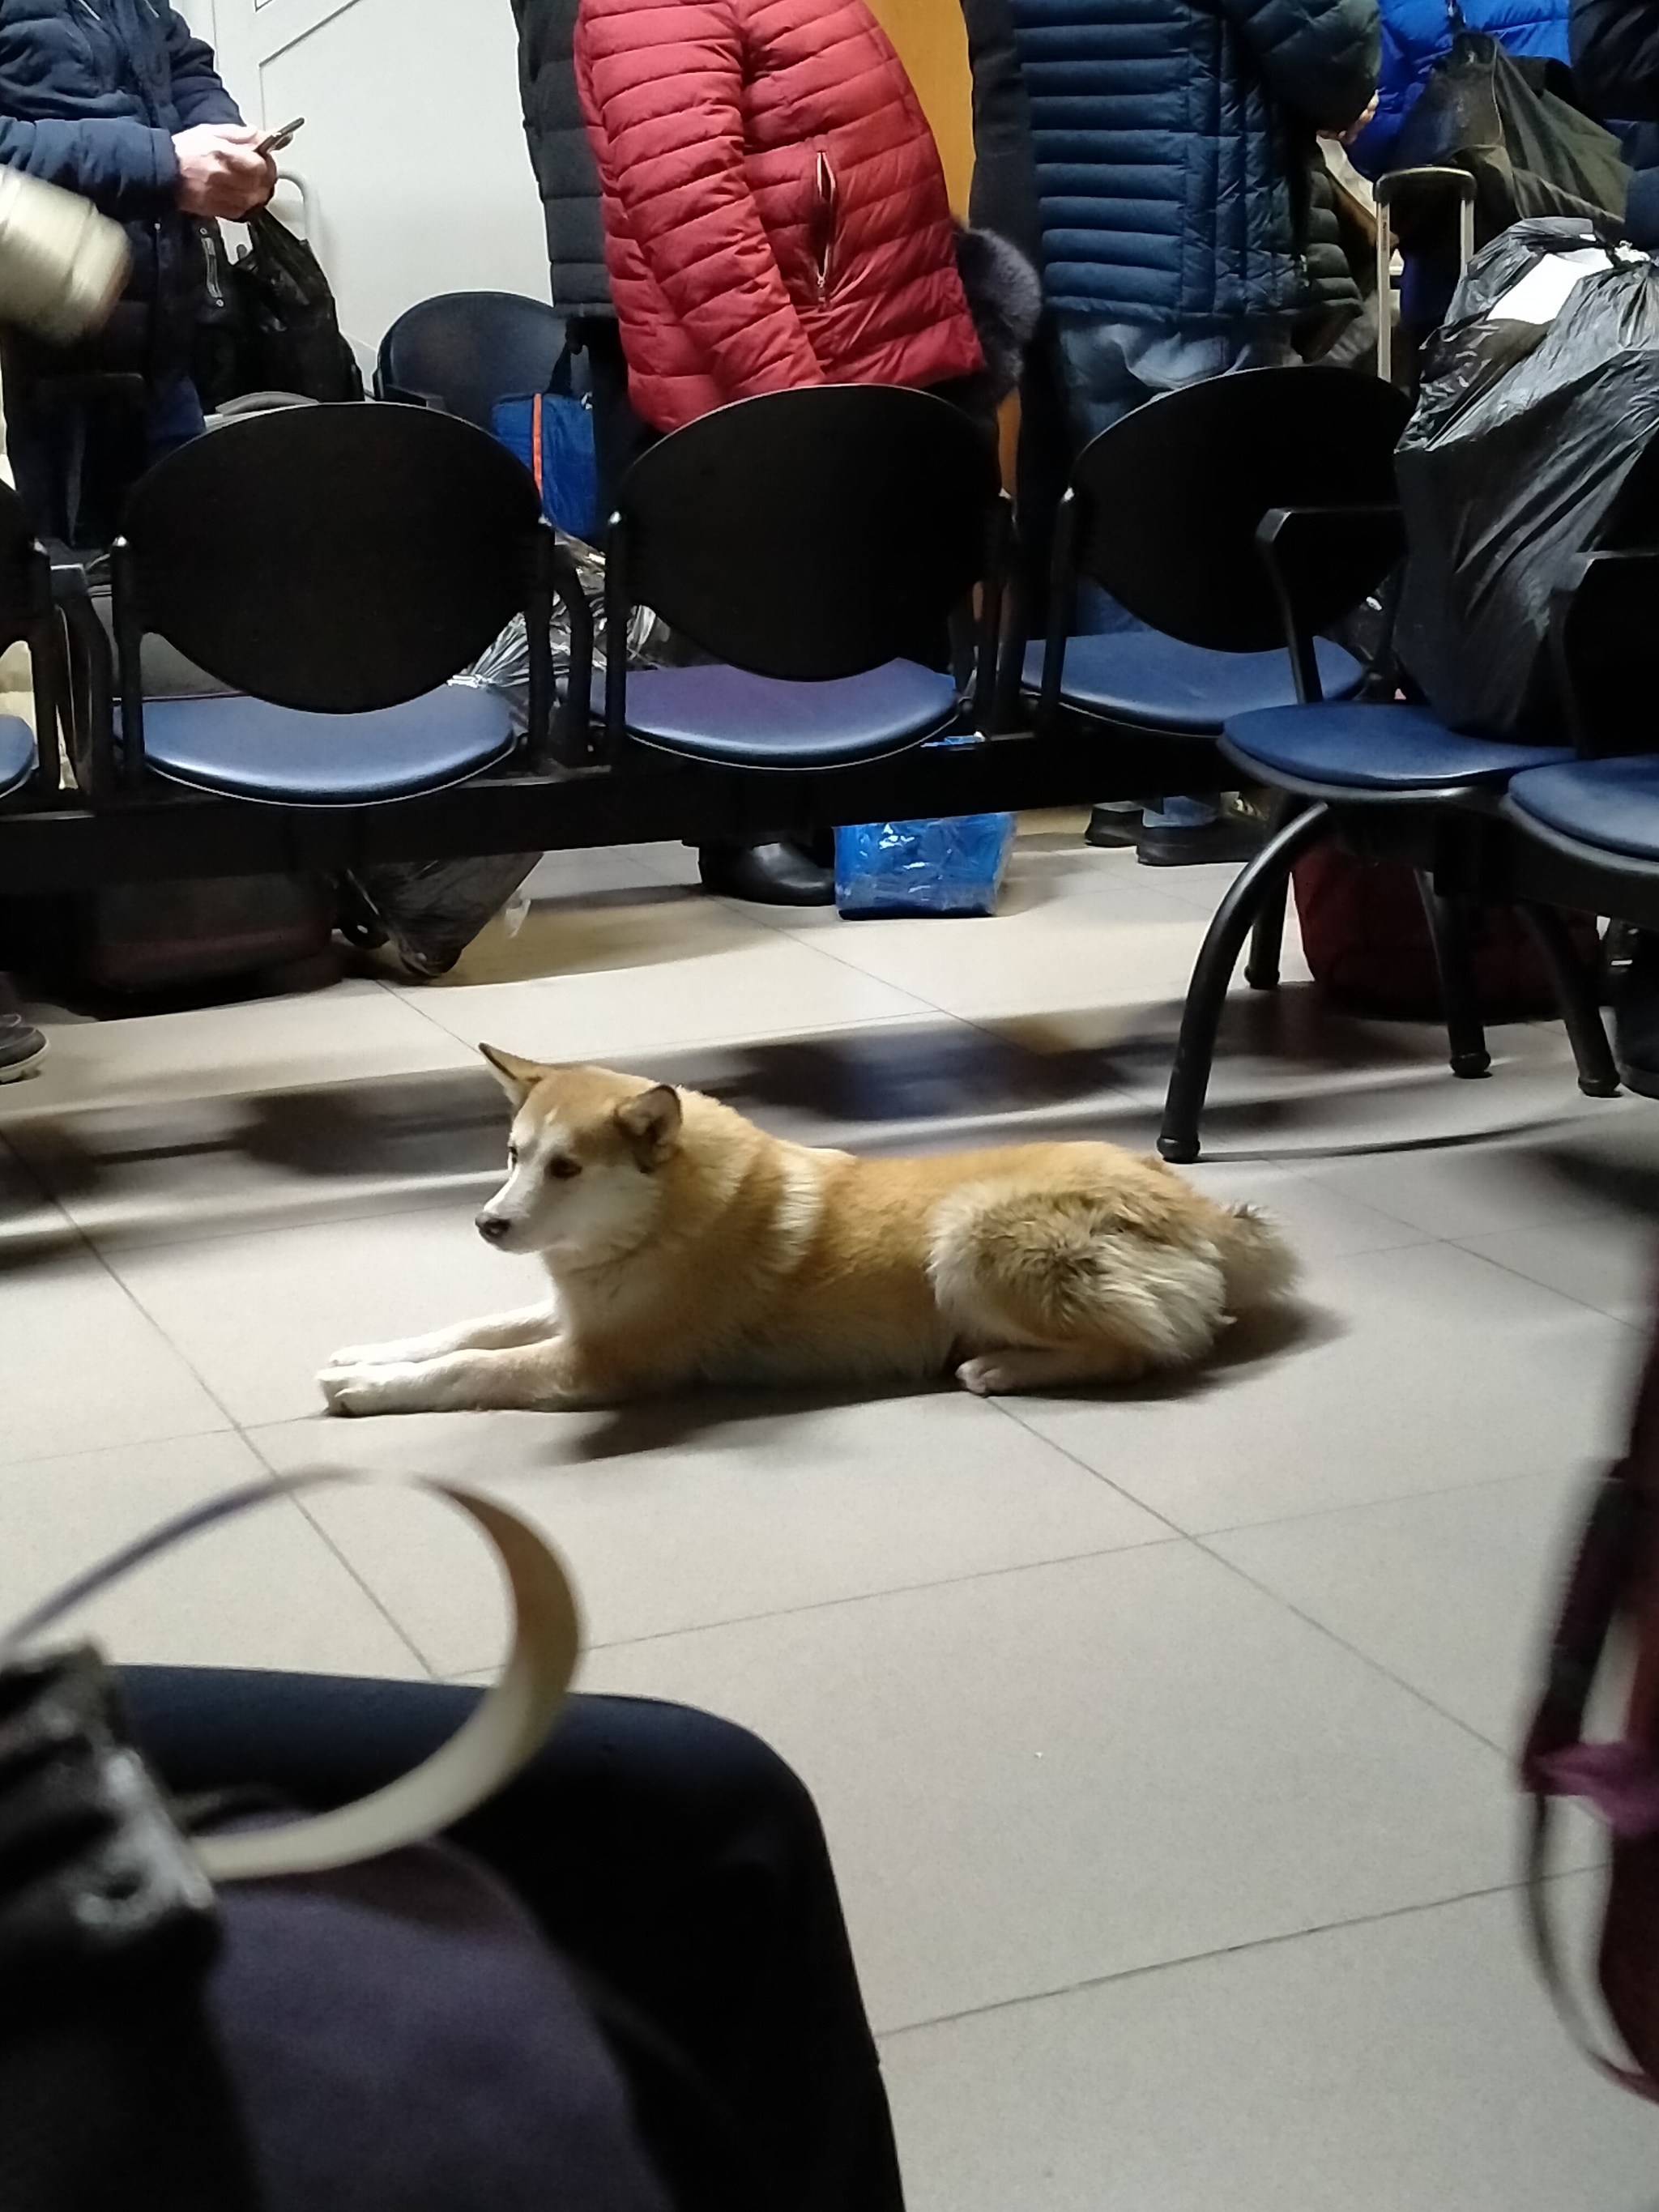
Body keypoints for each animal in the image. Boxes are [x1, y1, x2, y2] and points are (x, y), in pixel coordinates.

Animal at [312, 1048, 1300, 1424]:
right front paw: (367, 1354)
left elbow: (473, 1367)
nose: (488, 1222)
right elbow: (466, 1329)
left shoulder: (600, 1363)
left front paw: (373, 1390)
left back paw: (1001, 1367)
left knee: (1147, 1351)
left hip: (969, 1236)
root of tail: (1198, 1206)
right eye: (514, 1155)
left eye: (567, 1168)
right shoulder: (578, 1307)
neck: (657, 1225)